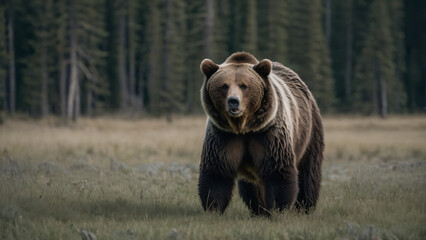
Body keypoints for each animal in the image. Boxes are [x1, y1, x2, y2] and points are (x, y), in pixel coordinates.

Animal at [198, 51, 324, 216]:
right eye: (224, 85)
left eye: (244, 85)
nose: (233, 101)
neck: (243, 128)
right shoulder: (223, 136)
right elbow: (217, 172)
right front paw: (213, 208)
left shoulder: (268, 134)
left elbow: (277, 171)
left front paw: (279, 208)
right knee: (252, 186)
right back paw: (259, 209)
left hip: (309, 130)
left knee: (308, 172)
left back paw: (304, 207)